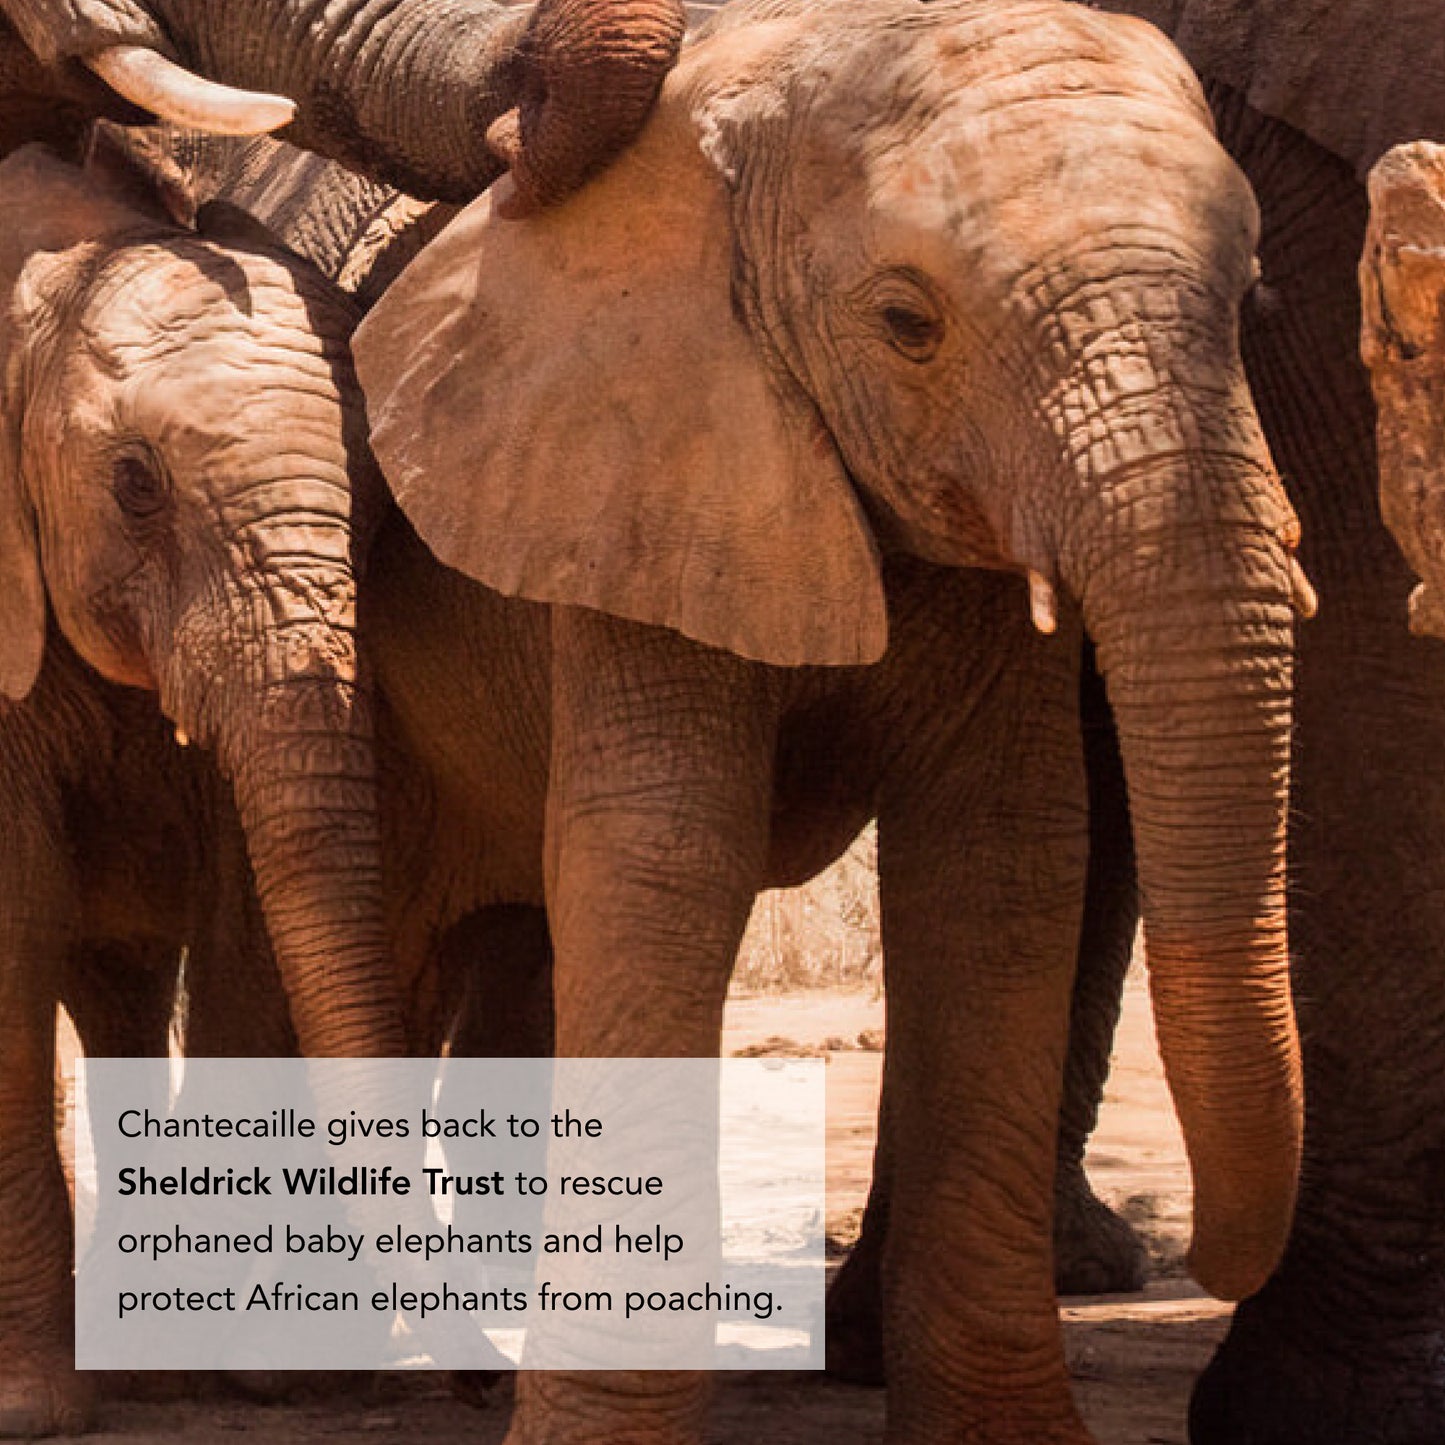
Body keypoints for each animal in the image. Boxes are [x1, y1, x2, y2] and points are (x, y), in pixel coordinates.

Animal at [344, 0, 1314, 1439]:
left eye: (1247, 303)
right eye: (906, 322)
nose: (1197, 1258)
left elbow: (1001, 861)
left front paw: (1005, 1432)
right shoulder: (636, 464)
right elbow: (663, 861)